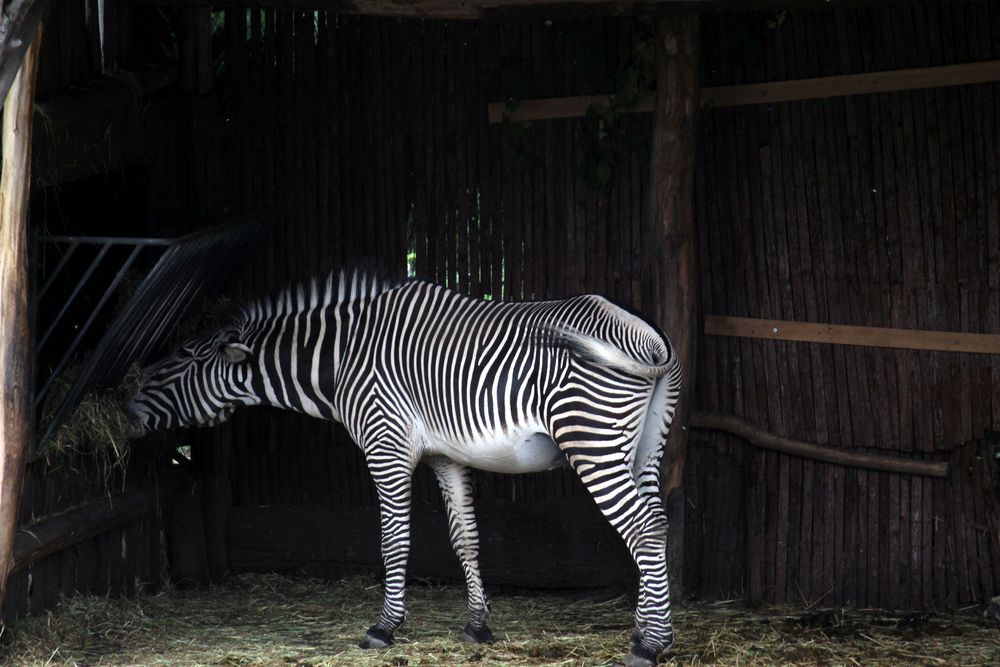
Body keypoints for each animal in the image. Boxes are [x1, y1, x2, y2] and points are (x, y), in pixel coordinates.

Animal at [127, 272, 680, 667]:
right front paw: (478, 626)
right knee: (656, 522)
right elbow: (465, 538)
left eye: (181, 359)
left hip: (592, 439)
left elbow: (394, 539)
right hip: (645, 447)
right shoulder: (445, 455)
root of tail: (654, 338)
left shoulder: (384, 443)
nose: (124, 406)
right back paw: (645, 629)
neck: (342, 358)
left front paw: (384, 627)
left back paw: (650, 645)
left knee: (645, 529)